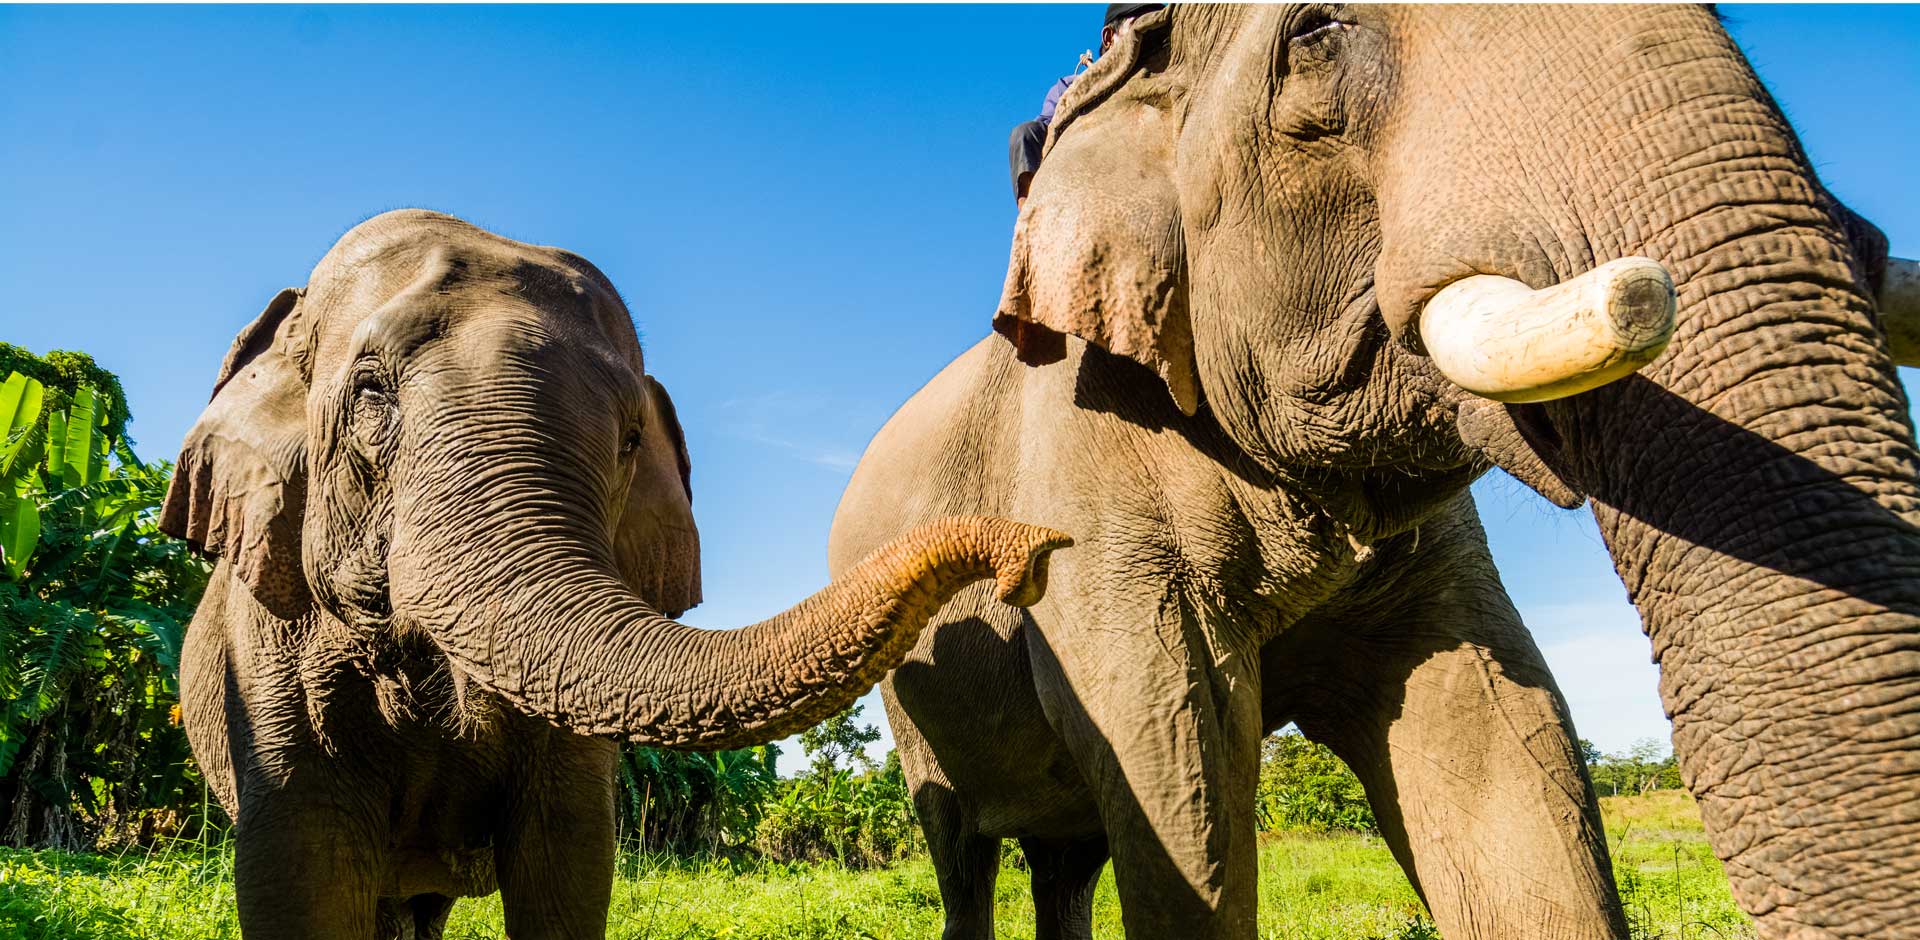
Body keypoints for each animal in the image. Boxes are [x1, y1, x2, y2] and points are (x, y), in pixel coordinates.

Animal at [157, 211, 1075, 940]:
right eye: (371, 391)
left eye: (630, 439)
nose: (1036, 556)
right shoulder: (262, 663)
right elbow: (301, 867)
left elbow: (566, 861)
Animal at [833, 7, 1920, 940]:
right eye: (1315, 32)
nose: (1645, 287)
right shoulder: (1087, 479)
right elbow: (1178, 763)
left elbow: (1501, 746)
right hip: (909, 695)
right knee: (967, 849)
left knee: (1067, 857)